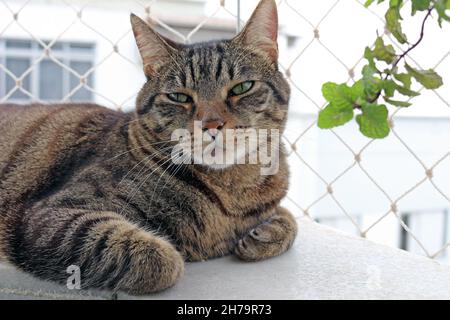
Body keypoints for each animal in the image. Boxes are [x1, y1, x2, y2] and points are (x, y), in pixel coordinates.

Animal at [0, 0, 296, 296]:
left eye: (241, 88)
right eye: (178, 96)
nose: (211, 125)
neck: (231, 192)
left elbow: (289, 219)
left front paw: (266, 232)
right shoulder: (52, 215)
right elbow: (161, 260)